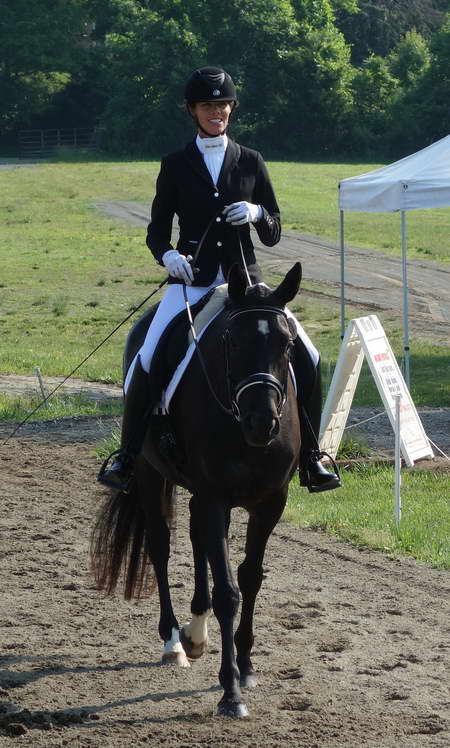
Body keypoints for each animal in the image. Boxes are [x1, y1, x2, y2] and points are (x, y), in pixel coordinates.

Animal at [91, 262, 302, 720]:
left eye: (288, 343)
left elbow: (250, 578)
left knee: (196, 538)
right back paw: (174, 642)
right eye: (233, 341)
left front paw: (246, 667)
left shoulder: (270, 502)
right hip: (151, 473)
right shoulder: (215, 495)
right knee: (161, 546)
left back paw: (197, 632)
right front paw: (230, 692)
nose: (263, 422)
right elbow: (228, 592)